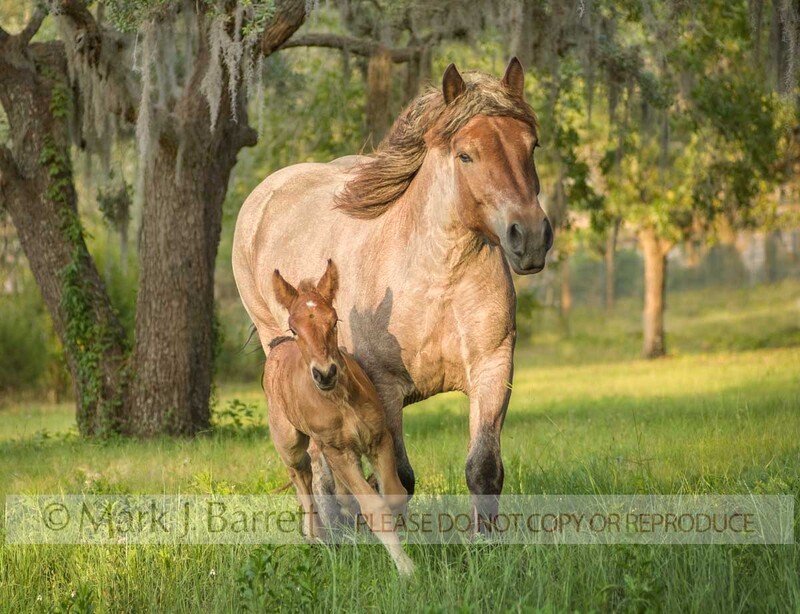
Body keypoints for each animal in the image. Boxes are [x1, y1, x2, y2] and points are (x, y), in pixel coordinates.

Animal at [233, 57, 552, 527]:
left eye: (531, 146)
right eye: (466, 154)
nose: (529, 236)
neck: (437, 280)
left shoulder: (493, 370)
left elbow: (484, 470)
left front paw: (486, 542)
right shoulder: (385, 388)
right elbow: (399, 480)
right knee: (317, 462)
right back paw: (331, 532)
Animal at [263, 259, 414, 575]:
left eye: (334, 321)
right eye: (295, 329)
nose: (325, 373)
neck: (340, 400)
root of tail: (277, 347)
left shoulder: (378, 438)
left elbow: (393, 494)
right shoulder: (337, 451)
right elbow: (374, 507)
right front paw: (407, 568)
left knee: (334, 489)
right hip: (289, 443)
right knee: (301, 475)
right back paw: (315, 536)